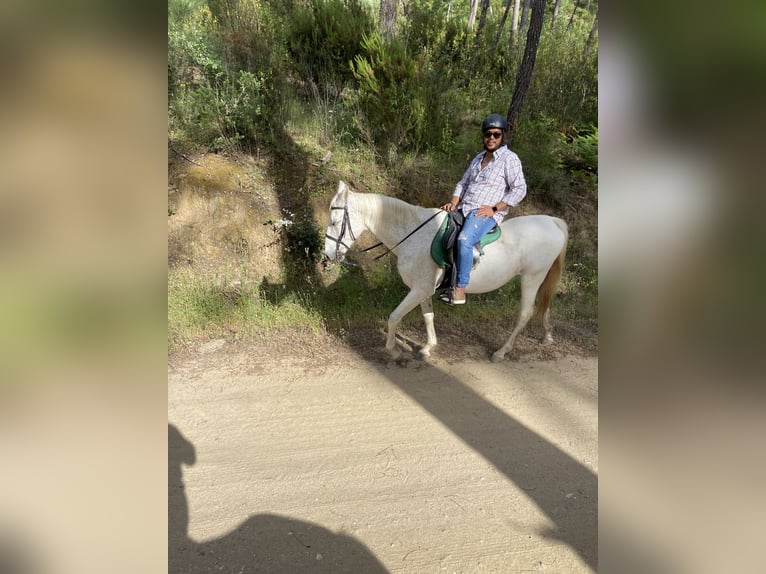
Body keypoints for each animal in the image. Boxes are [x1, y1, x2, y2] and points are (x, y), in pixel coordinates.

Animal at [324, 182, 568, 362]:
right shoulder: (422, 289)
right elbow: (428, 315)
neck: (413, 236)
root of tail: (552, 221)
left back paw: (501, 352)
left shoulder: (419, 289)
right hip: (540, 278)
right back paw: (547, 336)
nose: (327, 256)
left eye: (335, 222)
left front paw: (393, 350)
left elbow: (394, 317)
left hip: (531, 277)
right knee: (544, 304)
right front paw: (427, 348)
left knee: (525, 314)